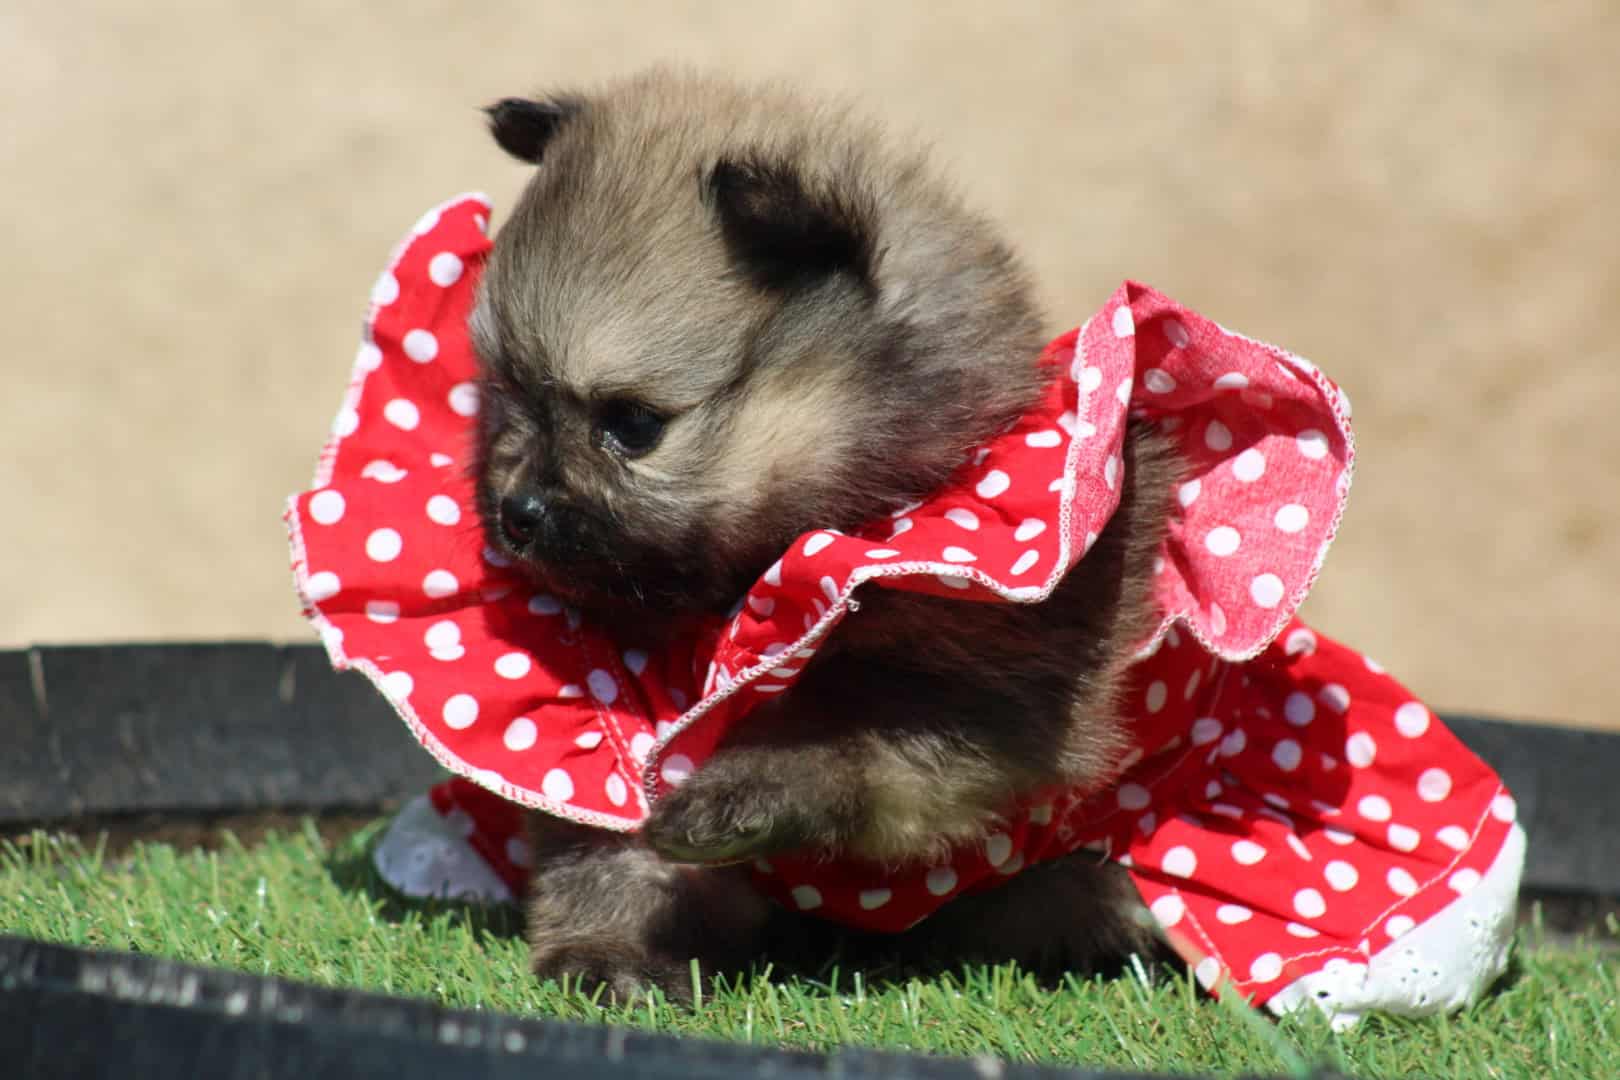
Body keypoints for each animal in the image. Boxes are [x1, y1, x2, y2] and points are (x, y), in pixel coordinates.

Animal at [469, 65, 1179, 997]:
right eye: (507, 392)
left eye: (631, 425)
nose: (518, 513)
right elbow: (605, 844)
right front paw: (607, 952)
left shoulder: (985, 699)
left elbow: (839, 746)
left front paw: (739, 795)